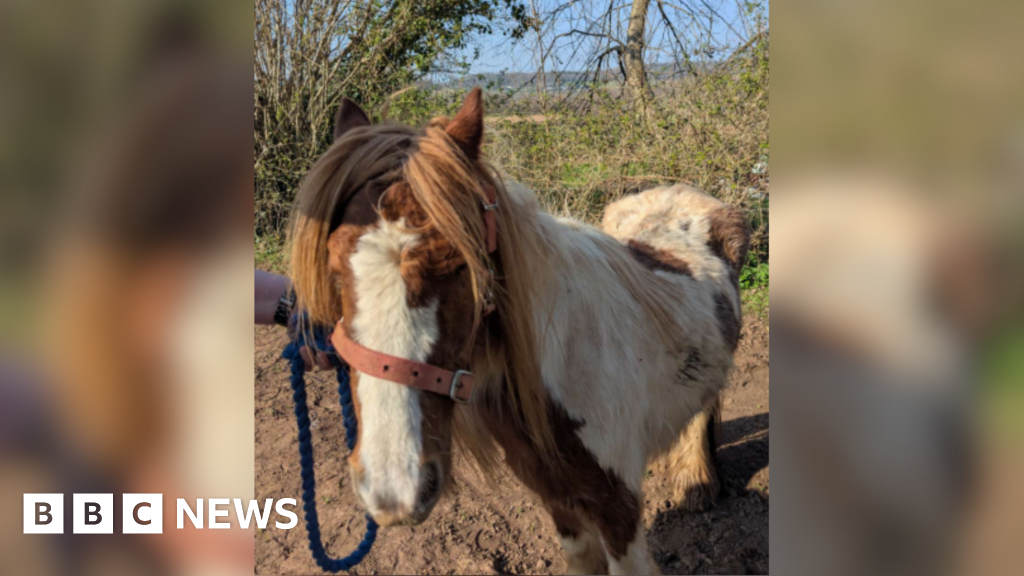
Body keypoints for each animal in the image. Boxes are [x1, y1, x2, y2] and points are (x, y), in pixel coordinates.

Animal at [288, 88, 749, 575]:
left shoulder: (619, 510)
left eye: (459, 266)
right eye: (335, 270)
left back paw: (697, 484)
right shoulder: (560, 502)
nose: (393, 487)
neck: (568, 363)